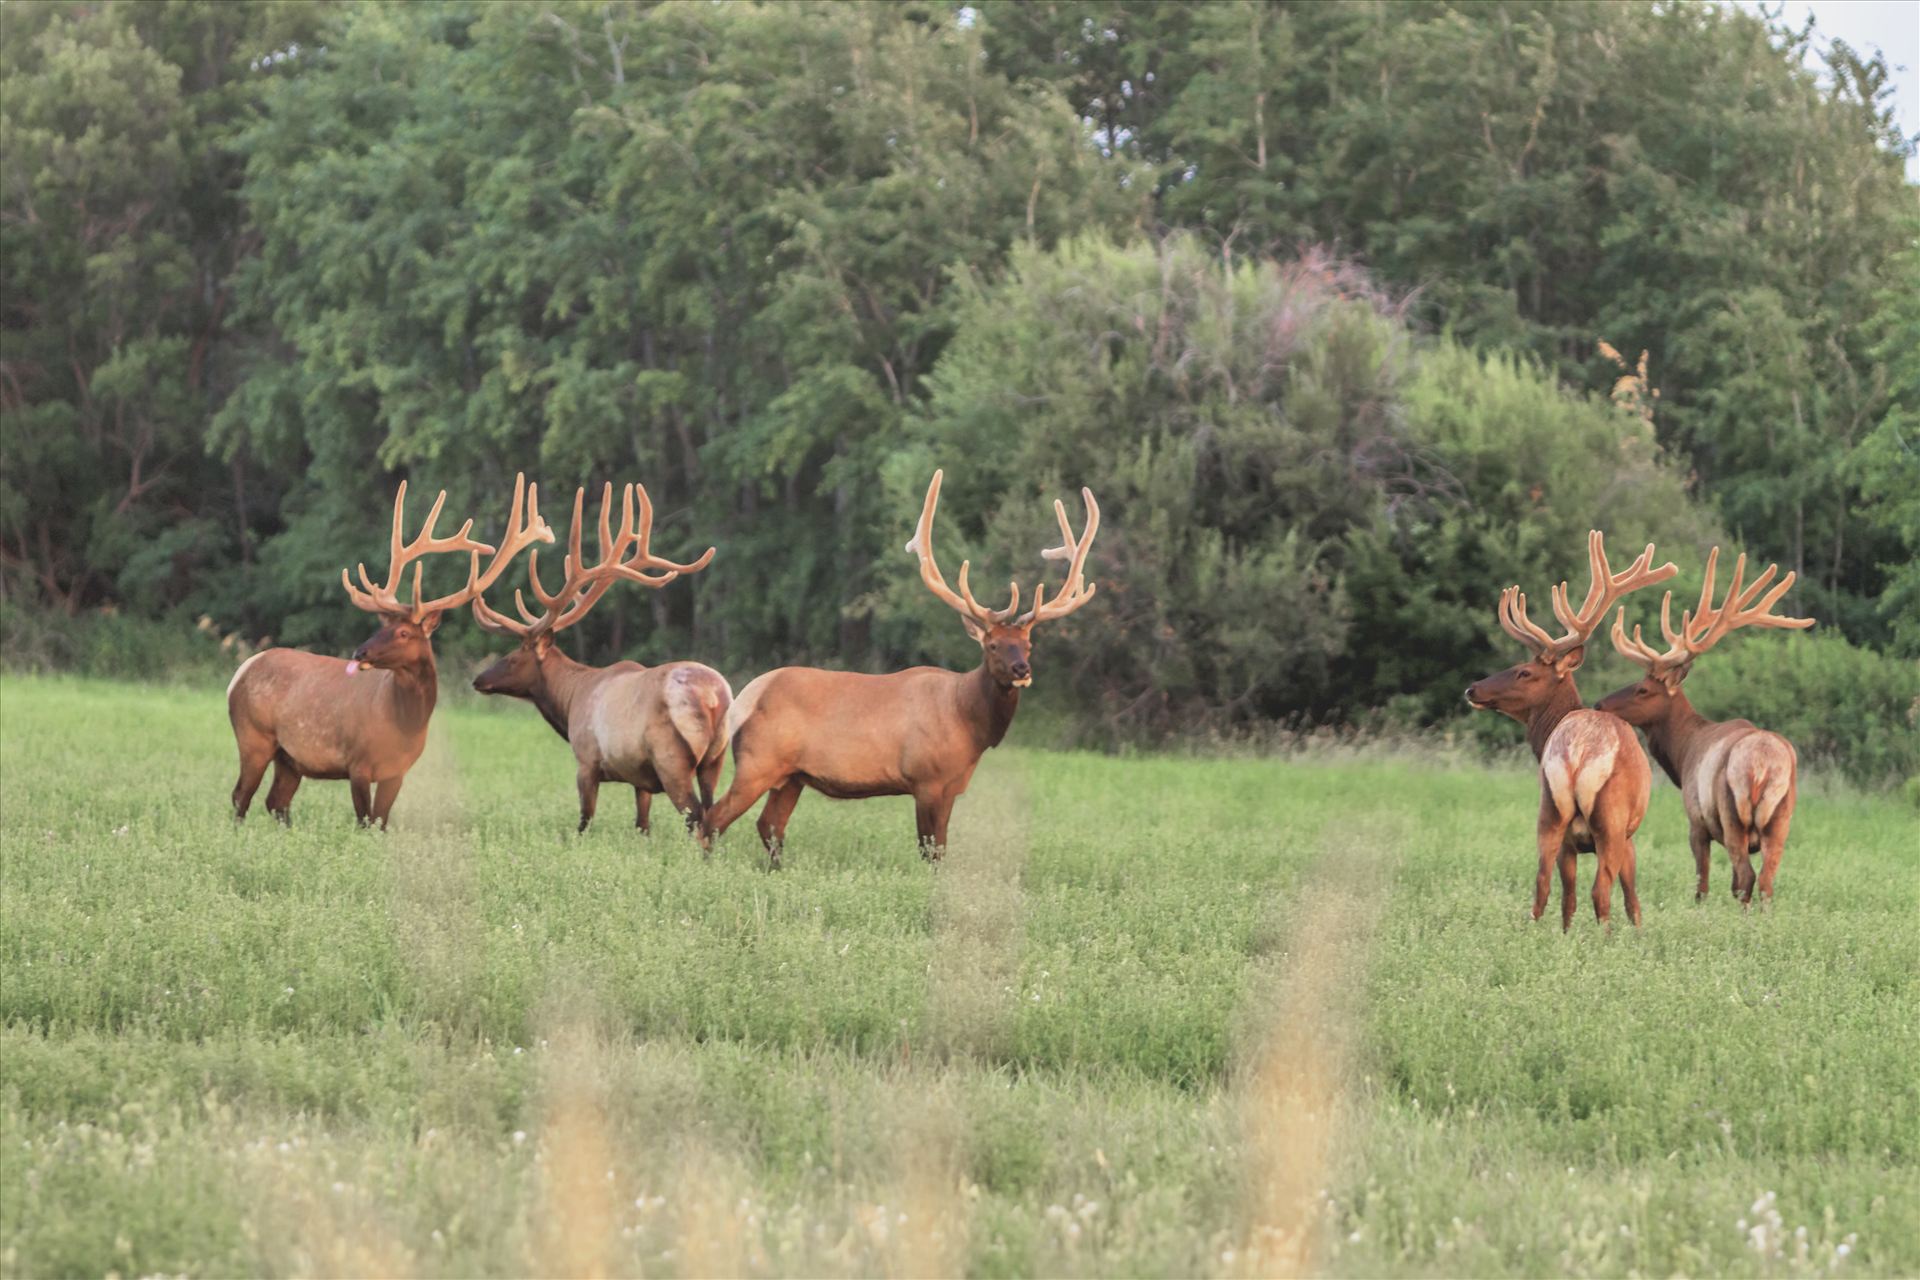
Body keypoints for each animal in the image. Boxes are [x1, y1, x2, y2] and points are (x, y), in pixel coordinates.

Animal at [229, 475, 556, 825]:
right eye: (380, 627)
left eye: (402, 632)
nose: (360, 653)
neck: (402, 726)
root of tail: (242, 671)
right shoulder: (357, 763)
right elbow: (364, 820)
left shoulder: (397, 772)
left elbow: (381, 822)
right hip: (253, 737)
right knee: (241, 797)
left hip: (289, 757)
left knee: (276, 801)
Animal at [468, 479, 729, 832]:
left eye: (512, 657)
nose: (478, 680)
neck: (569, 699)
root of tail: (714, 698)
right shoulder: (640, 780)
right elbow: (642, 825)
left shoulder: (587, 760)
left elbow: (584, 821)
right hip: (715, 759)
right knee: (713, 814)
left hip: (672, 760)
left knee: (697, 818)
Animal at [702, 470, 1098, 871]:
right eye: (992, 645)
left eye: (1028, 645)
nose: (1022, 669)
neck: (967, 723)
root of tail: (744, 697)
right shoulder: (926, 779)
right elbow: (930, 851)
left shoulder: (952, 785)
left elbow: (941, 849)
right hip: (758, 761)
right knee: (714, 819)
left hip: (792, 775)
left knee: (769, 825)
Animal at [1466, 529, 1681, 932]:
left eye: (1523, 671)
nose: (1472, 689)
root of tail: (1579, 755)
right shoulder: (1629, 836)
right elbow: (1632, 897)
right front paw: (1638, 933)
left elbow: (1567, 895)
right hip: (1610, 821)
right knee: (1600, 891)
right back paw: (1605, 940)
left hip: (1551, 810)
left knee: (1544, 886)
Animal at [1597, 548, 1804, 901]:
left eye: (1643, 689)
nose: (1599, 704)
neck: (1682, 756)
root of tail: (1763, 765)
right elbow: (1732, 885)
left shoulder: (1696, 820)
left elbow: (1702, 883)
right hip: (1781, 819)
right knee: (1765, 882)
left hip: (1732, 812)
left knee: (1748, 876)